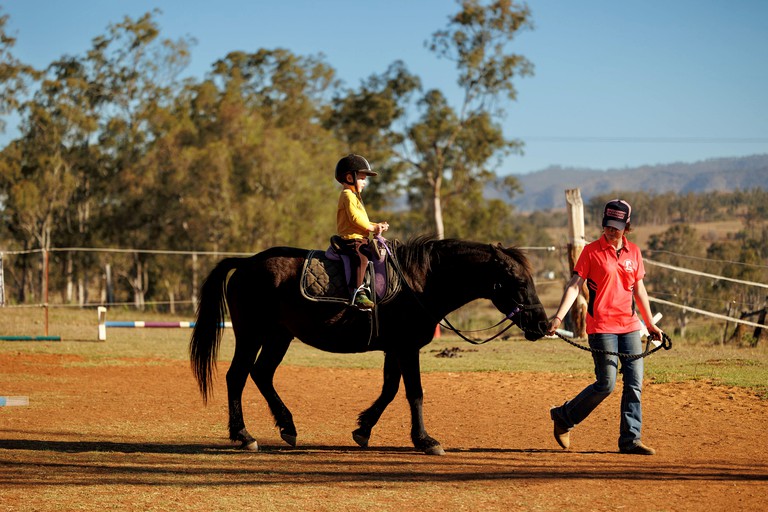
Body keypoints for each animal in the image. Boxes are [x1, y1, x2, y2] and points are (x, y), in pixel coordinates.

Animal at [192, 237, 552, 456]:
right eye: (520, 283)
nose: (544, 325)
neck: (420, 282)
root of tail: (246, 263)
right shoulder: (407, 348)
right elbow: (414, 393)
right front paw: (425, 440)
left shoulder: (395, 348)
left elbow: (390, 389)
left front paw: (363, 429)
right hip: (252, 334)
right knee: (237, 376)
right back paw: (244, 435)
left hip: (279, 336)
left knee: (261, 373)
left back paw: (287, 427)